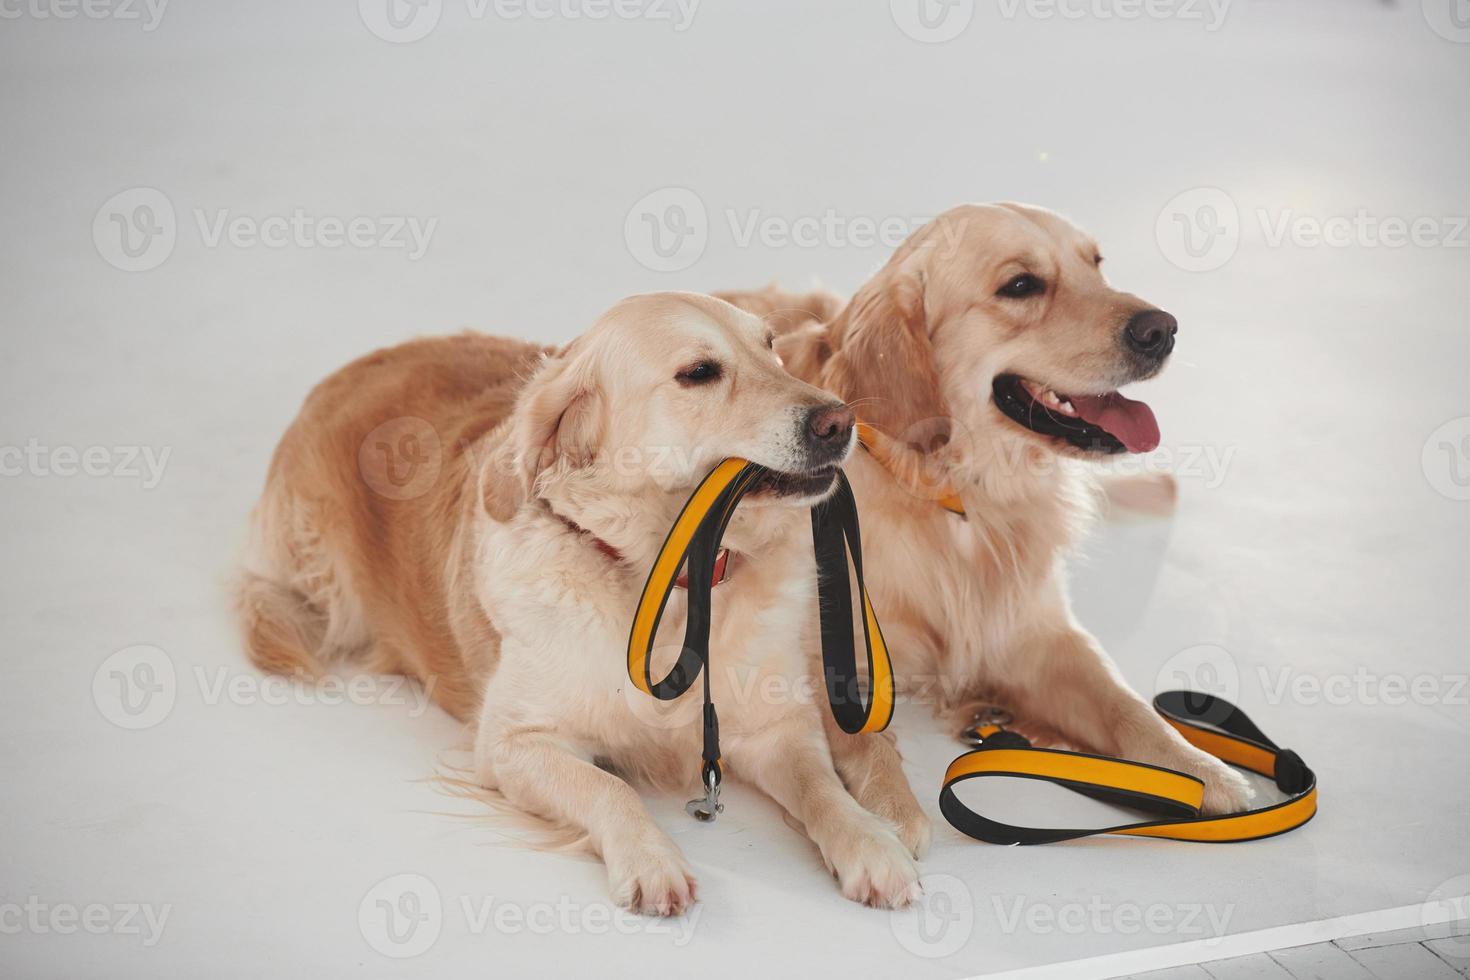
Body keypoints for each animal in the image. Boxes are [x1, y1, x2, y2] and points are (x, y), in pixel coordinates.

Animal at [238, 295, 929, 916]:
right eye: (699, 372)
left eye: (771, 348)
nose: (841, 422)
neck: (670, 581)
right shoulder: (513, 743)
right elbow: (607, 785)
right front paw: (651, 860)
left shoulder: (775, 727)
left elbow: (820, 785)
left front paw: (871, 841)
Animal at [717, 202, 1258, 816]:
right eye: (1020, 286)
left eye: (1095, 264)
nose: (1161, 328)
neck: (965, 498)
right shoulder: (825, 651)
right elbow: (863, 740)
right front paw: (893, 814)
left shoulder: (1042, 634)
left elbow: (1127, 705)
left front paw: (1202, 770)